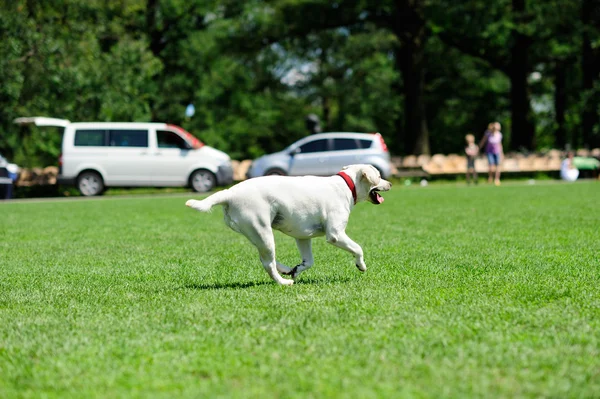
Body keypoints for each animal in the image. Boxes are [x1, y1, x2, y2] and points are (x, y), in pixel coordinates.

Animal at [185, 164, 392, 286]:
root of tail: (229, 193)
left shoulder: (303, 237)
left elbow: (308, 262)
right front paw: (361, 265)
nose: (390, 183)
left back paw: (285, 269)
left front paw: (296, 270)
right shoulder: (336, 234)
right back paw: (283, 282)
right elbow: (358, 248)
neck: (346, 185)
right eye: (379, 175)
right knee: (267, 264)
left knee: (267, 260)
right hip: (264, 233)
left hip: (257, 235)